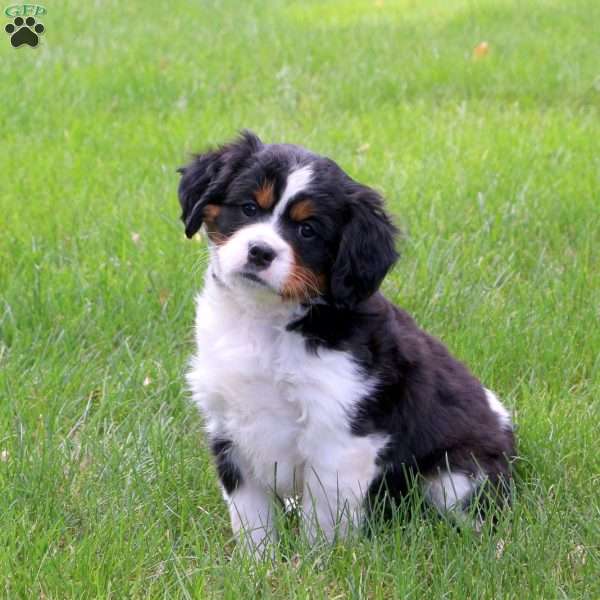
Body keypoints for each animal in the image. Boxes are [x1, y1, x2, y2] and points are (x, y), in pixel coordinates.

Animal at [176, 131, 512, 552]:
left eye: (307, 230)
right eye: (248, 208)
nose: (260, 252)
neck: (266, 321)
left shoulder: (339, 434)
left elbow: (322, 520)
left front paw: (315, 563)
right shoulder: (229, 426)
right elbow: (251, 515)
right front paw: (258, 562)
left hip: (458, 476)